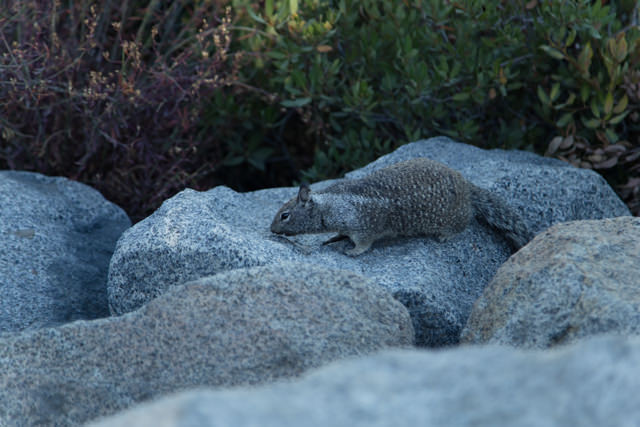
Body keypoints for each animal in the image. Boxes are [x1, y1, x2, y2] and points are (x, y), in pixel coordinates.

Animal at [270, 158, 528, 256]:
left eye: (285, 216)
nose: (271, 230)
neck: (330, 205)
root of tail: (467, 185)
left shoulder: (365, 223)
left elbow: (364, 242)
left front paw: (353, 251)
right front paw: (334, 238)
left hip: (453, 216)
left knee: (464, 223)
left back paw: (446, 235)